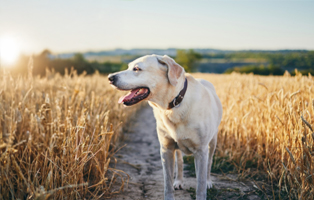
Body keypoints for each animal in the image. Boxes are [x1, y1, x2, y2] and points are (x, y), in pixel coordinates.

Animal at [108, 55, 223, 200]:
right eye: (129, 67)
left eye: (137, 69)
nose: (110, 77)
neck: (173, 105)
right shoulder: (166, 149)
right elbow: (167, 184)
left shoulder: (201, 151)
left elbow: (200, 186)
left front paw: (204, 186)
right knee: (179, 161)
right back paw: (179, 181)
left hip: (212, 142)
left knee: (209, 163)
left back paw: (208, 181)